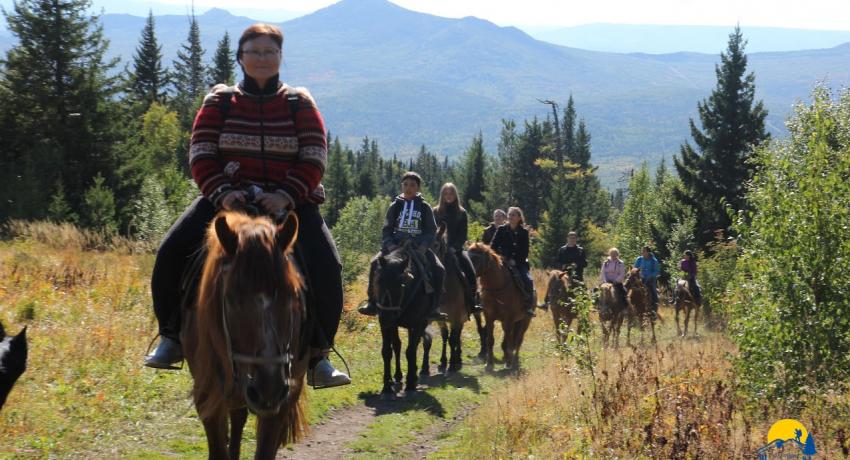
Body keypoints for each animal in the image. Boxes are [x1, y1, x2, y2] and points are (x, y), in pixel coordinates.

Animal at [464, 243, 528, 372]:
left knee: (518, 340)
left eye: (477, 259)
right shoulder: (489, 317)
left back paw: (514, 360)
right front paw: (489, 364)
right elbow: (490, 340)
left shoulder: (509, 319)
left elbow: (506, 342)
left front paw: (508, 363)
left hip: (524, 321)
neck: (497, 289)